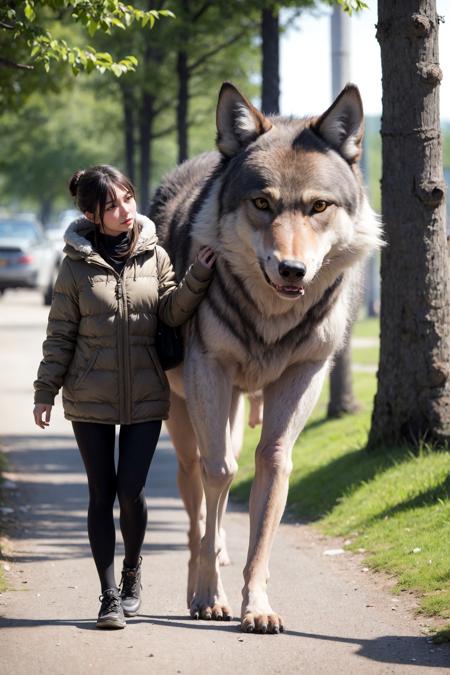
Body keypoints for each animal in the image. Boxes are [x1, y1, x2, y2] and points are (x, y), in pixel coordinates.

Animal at [149, 83, 382, 632]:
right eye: (261, 202)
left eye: (318, 206)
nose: (292, 269)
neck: (271, 319)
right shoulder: (210, 370)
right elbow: (218, 475)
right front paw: (210, 595)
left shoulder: (304, 375)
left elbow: (271, 475)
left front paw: (256, 605)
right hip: (186, 417)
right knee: (199, 492)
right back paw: (198, 584)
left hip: (236, 406)